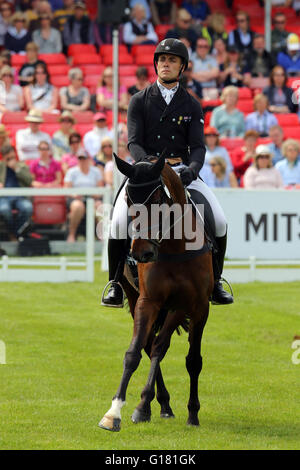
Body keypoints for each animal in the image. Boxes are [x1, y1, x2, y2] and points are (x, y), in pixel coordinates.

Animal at [99, 155, 214, 434]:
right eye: (129, 200)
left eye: (158, 199)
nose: (142, 253)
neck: (174, 246)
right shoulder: (148, 301)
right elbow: (135, 352)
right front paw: (115, 412)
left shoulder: (191, 304)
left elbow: (183, 356)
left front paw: (191, 413)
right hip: (134, 298)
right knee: (149, 345)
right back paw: (160, 404)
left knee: (168, 350)